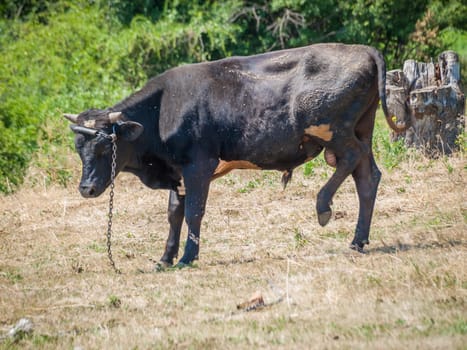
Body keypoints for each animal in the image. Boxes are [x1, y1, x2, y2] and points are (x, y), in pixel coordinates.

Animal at [64, 45, 408, 266]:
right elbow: (174, 213)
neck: (162, 109)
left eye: (105, 146)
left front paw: (187, 257)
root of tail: (362, 49)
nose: (86, 188)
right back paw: (358, 240)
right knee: (367, 176)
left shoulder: (198, 165)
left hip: (332, 129)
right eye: (79, 148)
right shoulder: (177, 172)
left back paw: (323, 206)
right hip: (360, 127)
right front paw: (165, 258)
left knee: (353, 157)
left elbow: (194, 212)